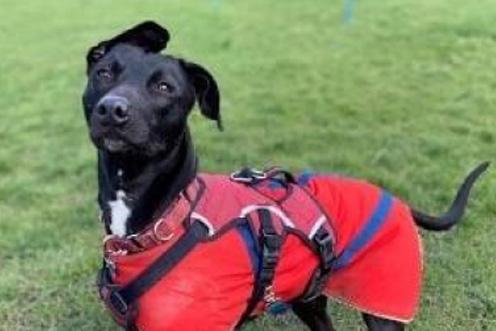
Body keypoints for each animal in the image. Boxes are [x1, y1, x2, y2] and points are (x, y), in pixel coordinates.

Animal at [82, 22, 488, 330]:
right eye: (104, 73)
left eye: (164, 87)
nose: (113, 109)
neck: (168, 218)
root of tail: (396, 198)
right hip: (309, 298)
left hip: (383, 306)